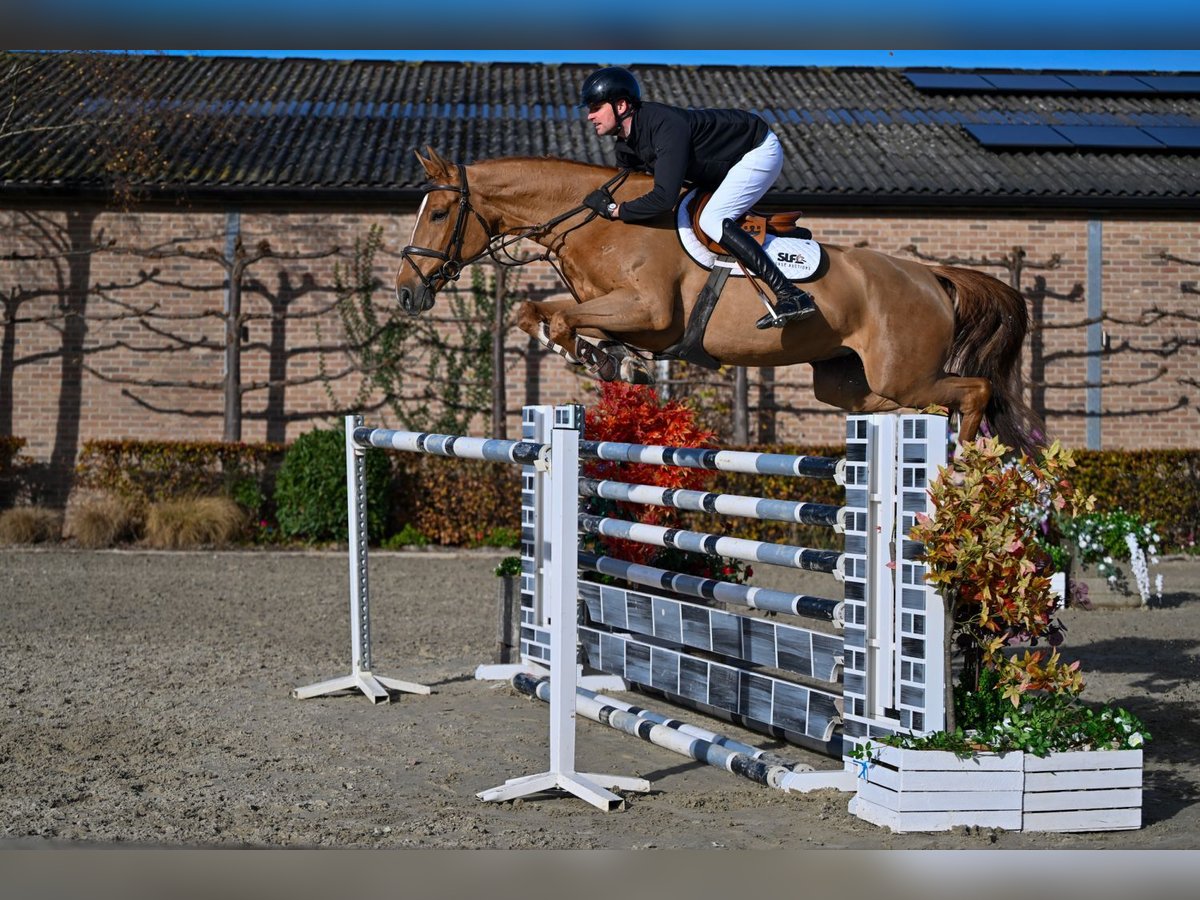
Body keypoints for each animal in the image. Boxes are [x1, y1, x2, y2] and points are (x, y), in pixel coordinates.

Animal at [395, 146, 1044, 454]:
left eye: (441, 212)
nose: (406, 292)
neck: (599, 221)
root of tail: (929, 274)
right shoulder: (619, 312)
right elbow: (538, 313)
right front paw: (609, 360)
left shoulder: (650, 313)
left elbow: (558, 319)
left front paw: (600, 358)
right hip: (850, 383)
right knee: (923, 405)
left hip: (904, 371)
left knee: (975, 391)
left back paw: (959, 467)